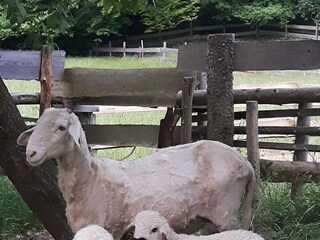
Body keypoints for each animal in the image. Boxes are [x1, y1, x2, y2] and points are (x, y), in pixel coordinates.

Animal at [16, 108, 255, 240]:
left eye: (62, 127)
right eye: (37, 125)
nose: (30, 153)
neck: (91, 178)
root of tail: (245, 163)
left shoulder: (108, 227)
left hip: (226, 213)